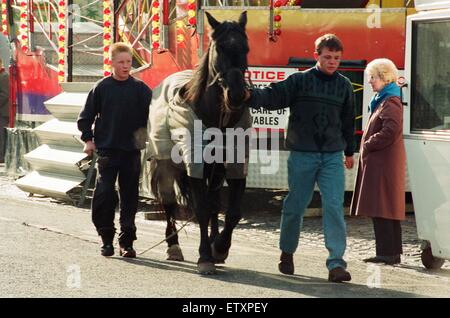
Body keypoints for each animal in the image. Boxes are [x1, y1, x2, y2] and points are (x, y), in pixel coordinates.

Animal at [149, 10, 251, 274]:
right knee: (169, 202)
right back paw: (173, 245)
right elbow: (202, 209)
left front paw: (220, 248)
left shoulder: (234, 163)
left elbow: (232, 212)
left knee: (214, 203)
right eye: (220, 48)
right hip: (166, 164)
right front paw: (205, 255)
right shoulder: (194, 164)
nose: (236, 95)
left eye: (246, 48)